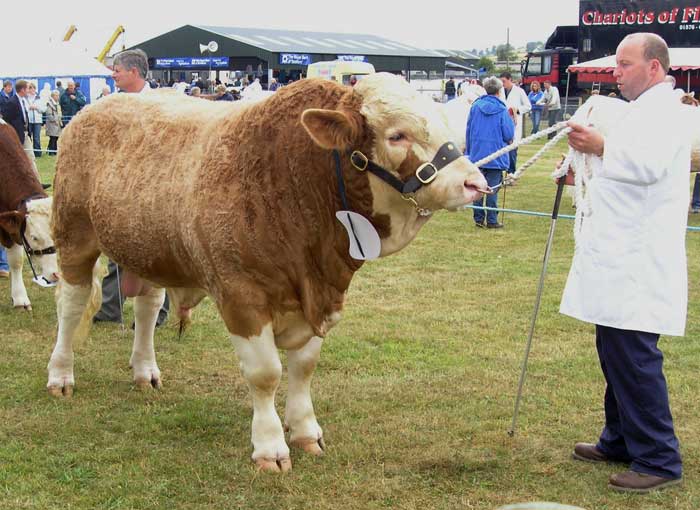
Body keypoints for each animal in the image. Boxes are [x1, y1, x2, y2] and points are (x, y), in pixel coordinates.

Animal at [47, 71, 486, 470]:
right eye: (397, 135)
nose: (474, 183)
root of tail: (96, 106)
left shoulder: (321, 300)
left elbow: (304, 367)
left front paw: (306, 431)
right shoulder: (241, 295)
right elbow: (265, 373)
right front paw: (271, 446)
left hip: (149, 248)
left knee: (147, 306)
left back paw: (145, 371)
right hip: (74, 235)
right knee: (70, 305)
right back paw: (61, 375)